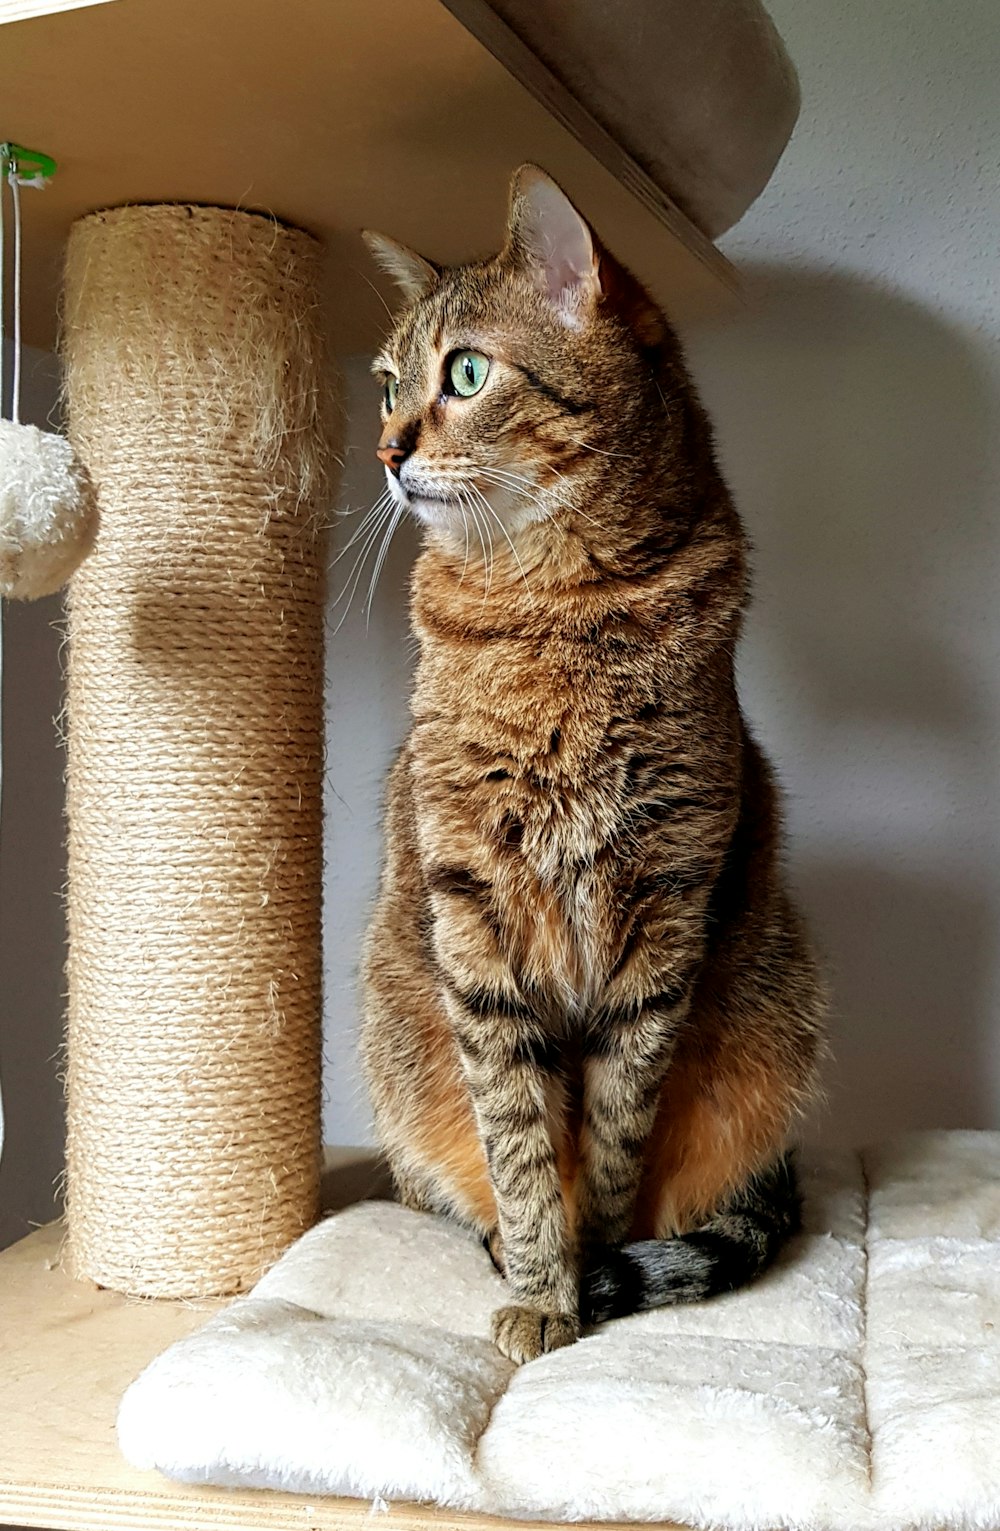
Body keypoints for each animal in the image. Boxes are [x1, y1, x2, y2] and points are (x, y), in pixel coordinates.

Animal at [358, 164, 826, 1365]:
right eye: (383, 387)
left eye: (465, 373)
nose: (386, 451)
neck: (550, 610)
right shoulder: (471, 914)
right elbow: (521, 1141)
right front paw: (541, 1287)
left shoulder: (661, 917)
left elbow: (613, 1137)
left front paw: (592, 1274)